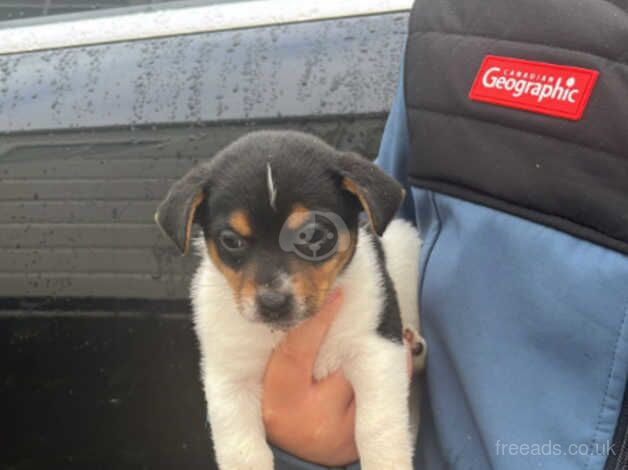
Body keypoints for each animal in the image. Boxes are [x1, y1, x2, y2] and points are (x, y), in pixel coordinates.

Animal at [155, 130, 426, 470]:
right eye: (231, 240)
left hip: (404, 249)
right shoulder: (229, 378)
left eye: (312, 235)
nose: (272, 303)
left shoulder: (376, 349)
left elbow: (378, 427)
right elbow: (242, 451)